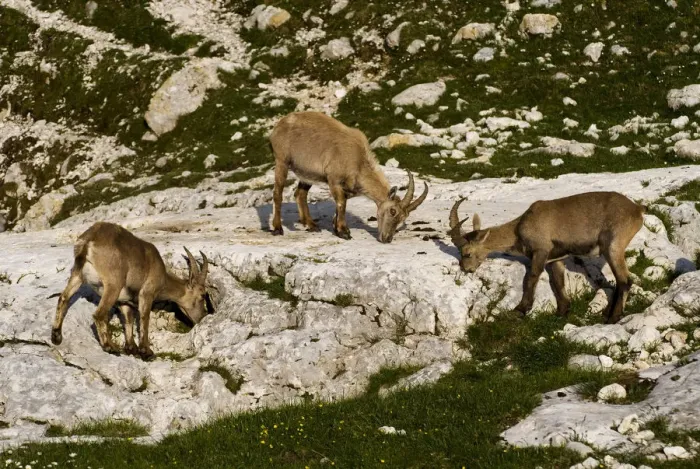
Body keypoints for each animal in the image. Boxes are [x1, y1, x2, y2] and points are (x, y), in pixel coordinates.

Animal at [51, 222, 209, 359]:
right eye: (202, 295)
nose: (202, 317)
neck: (162, 277)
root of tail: (88, 242)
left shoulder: (124, 300)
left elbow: (128, 320)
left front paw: (131, 348)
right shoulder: (147, 293)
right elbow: (144, 318)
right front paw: (146, 351)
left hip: (77, 275)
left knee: (63, 298)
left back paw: (56, 336)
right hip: (113, 284)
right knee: (99, 314)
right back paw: (110, 347)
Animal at [269, 111, 428, 243]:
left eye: (403, 217)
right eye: (392, 211)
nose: (387, 239)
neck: (358, 161)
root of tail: (279, 126)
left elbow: (340, 205)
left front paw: (337, 228)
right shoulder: (334, 179)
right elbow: (341, 203)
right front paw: (344, 232)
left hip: (307, 174)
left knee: (300, 194)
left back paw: (311, 225)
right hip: (282, 161)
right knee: (277, 193)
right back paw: (277, 228)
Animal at [448, 192, 645, 323]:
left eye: (467, 253)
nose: (466, 268)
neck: (519, 227)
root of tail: (636, 210)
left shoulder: (540, 251)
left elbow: (531, 277)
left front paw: (520, 309)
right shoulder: (555, 257)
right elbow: (558, 281)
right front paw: (562, 311)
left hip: (613, 247)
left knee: (625, 280)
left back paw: (613, 317)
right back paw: (607, 313)